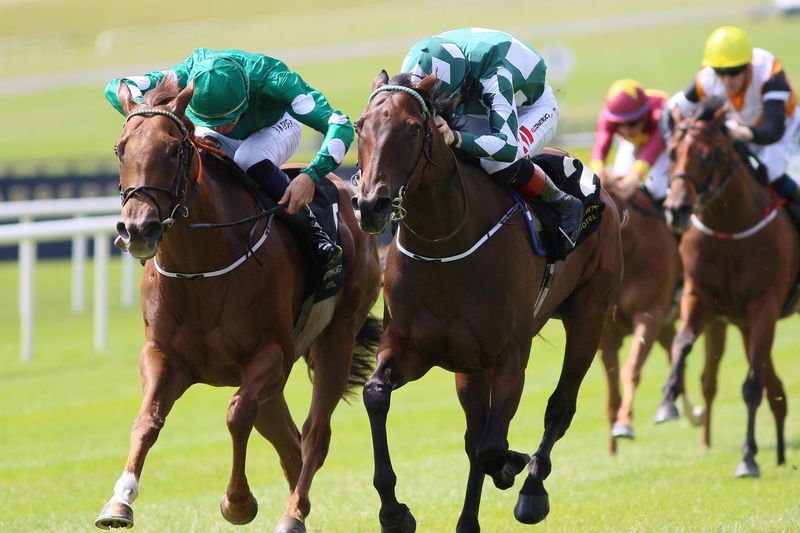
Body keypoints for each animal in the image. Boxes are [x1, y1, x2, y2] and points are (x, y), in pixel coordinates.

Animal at [94, 80, 382, 532]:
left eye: (174, 150)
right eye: (120, 148)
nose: (138, 228)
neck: (199, 270)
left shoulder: (271, 354)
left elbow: (236, 413)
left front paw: (238, 501)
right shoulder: (162, 355)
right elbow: (147, 420)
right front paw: (120, 500)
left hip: (336, 338)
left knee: (314, 436)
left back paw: (293, 513)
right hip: (279, 384)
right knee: (290, 443)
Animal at [354, 71, 620, 532]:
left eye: (413, 129)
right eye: (359, 126)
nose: (372, 205)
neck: (444, 245)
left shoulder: (509, 357)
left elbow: (493, 448)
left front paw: (515, 466)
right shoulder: (410, 349)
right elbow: (376, 395)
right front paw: (394, 511)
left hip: (589, 314)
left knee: (559, 407)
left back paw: (532, 490)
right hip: (469, 368)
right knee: (476, 433)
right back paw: (468, 521)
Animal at [652, 98, 796, 478]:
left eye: (709, 155)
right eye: (671, 152)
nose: (677, 210)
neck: (730, 229)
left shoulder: (764, 306)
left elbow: (751, 385)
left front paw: (748, 457)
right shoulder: (699, 297)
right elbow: (681, 344)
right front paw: (667, 401)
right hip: (743, 325)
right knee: (776, 390)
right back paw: (779, 454)